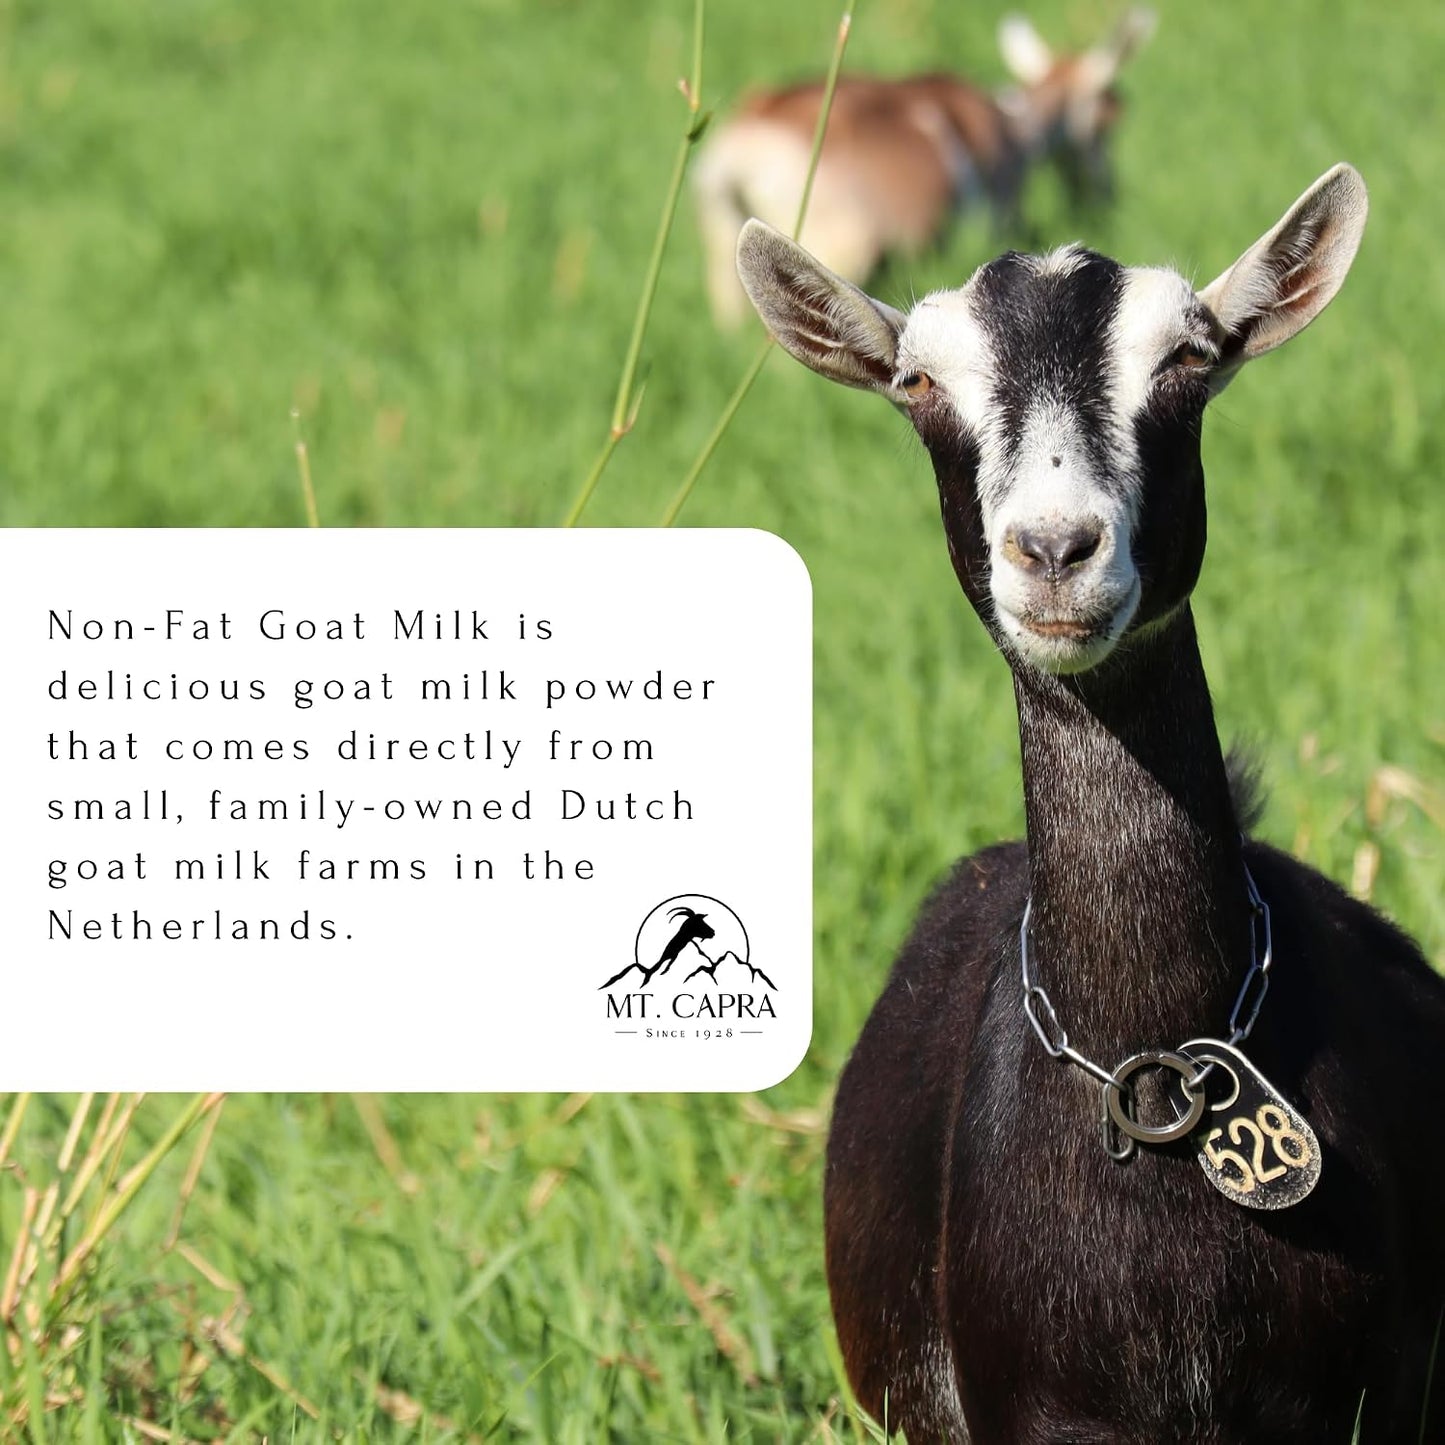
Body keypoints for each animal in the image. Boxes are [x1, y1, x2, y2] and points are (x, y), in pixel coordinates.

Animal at [695, 9, 1154, 327]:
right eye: (1108, 118)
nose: (1107, 194)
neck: (1015, 126)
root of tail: (745, 147)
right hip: (835, 246)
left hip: (726, 237)